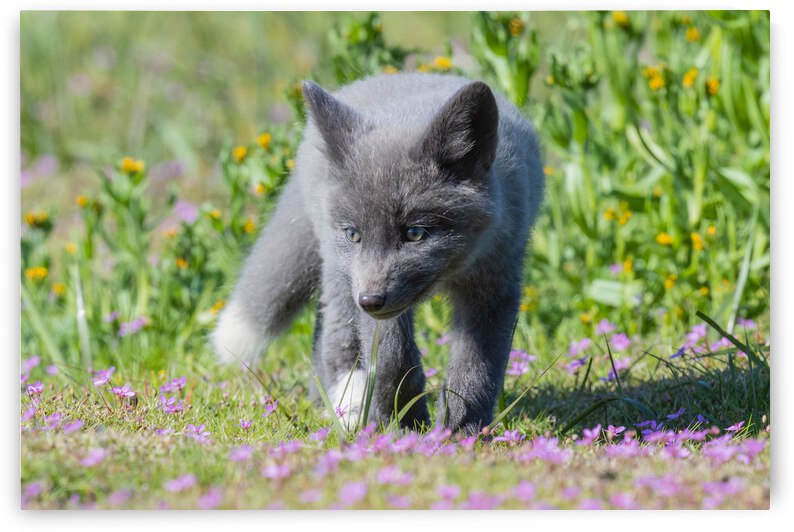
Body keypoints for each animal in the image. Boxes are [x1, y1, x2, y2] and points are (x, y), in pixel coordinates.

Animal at [213, 73, 544, 435]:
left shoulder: (494, 285)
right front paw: (404, 423)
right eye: (354, 234)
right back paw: (349, 407)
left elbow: (476, 368)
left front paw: (461, 432)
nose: (370, 301)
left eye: (415, 233)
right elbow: (393, 357)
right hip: (340, 274)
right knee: (334, 338)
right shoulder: (371, 298)